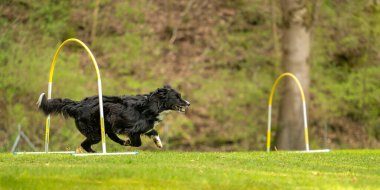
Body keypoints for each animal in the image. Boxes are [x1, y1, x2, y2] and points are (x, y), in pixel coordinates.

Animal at [36, 85, 190, 153]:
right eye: (177, 97)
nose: (188, 103)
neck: (152, 105)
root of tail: (78, 104)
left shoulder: (144, 127)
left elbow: (153, 131)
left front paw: (158, 142)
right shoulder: (133, 129)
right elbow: (137, 142)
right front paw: (129, 142)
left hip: (104, 127)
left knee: (107, 137)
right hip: (96, 133)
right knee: (86, 144)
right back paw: (97, 153)